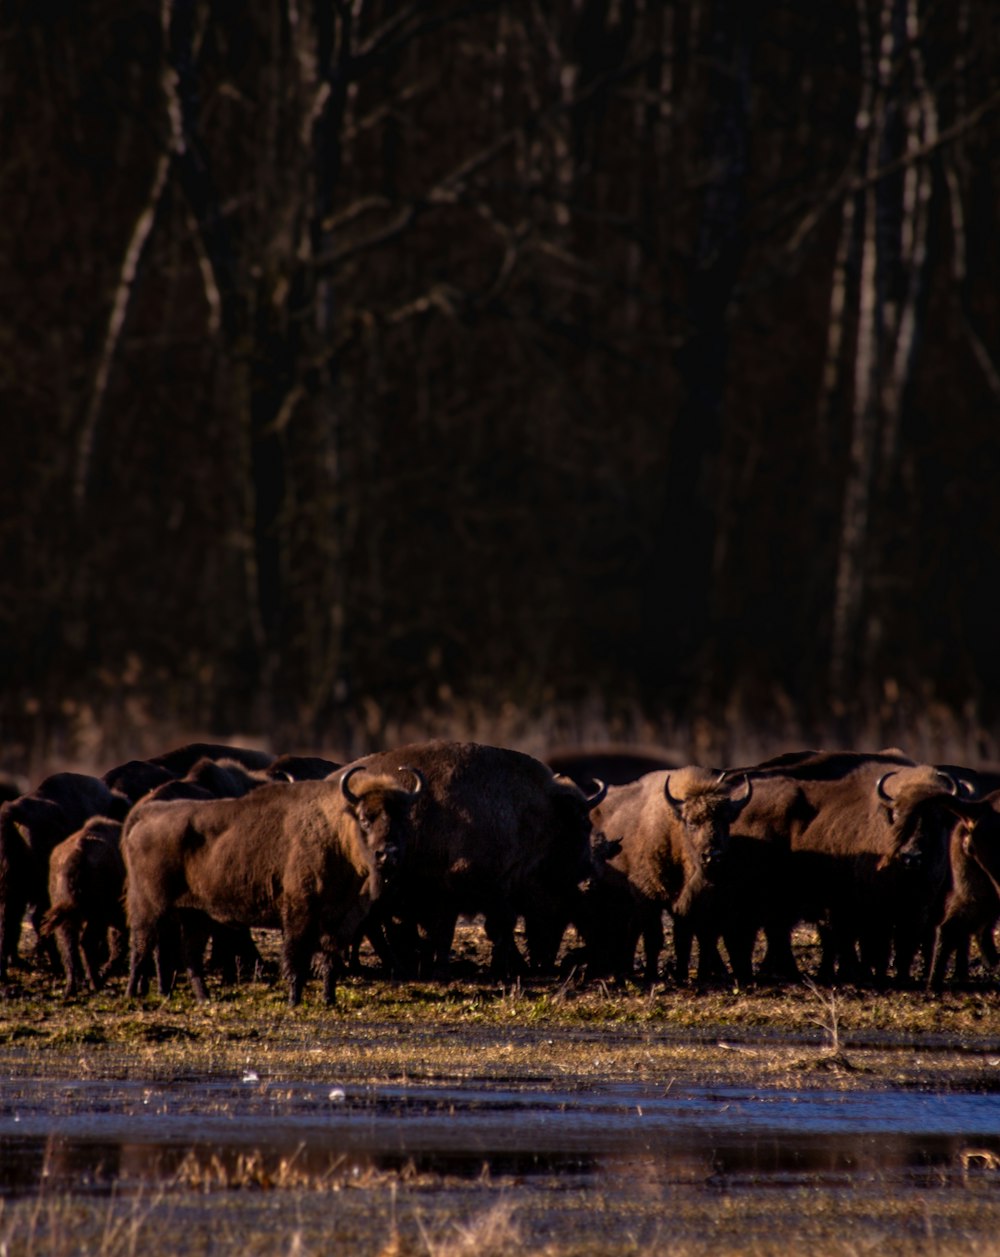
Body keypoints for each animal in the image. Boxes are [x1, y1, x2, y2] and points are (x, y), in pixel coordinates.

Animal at [123, 759, 422, 1005]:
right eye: (364, 819)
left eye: (403, 819)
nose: (388, 854)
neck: (335, 832)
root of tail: (145, 816)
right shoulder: (300, 913)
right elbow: (296, 958)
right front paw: (294, 1000)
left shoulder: (340, 919)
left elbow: (330, 960)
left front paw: (329, 999)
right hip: (151, 909)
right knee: (141, 948)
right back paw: (132, 995)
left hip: (195, 915)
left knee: (188, 954)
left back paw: (203, 998)